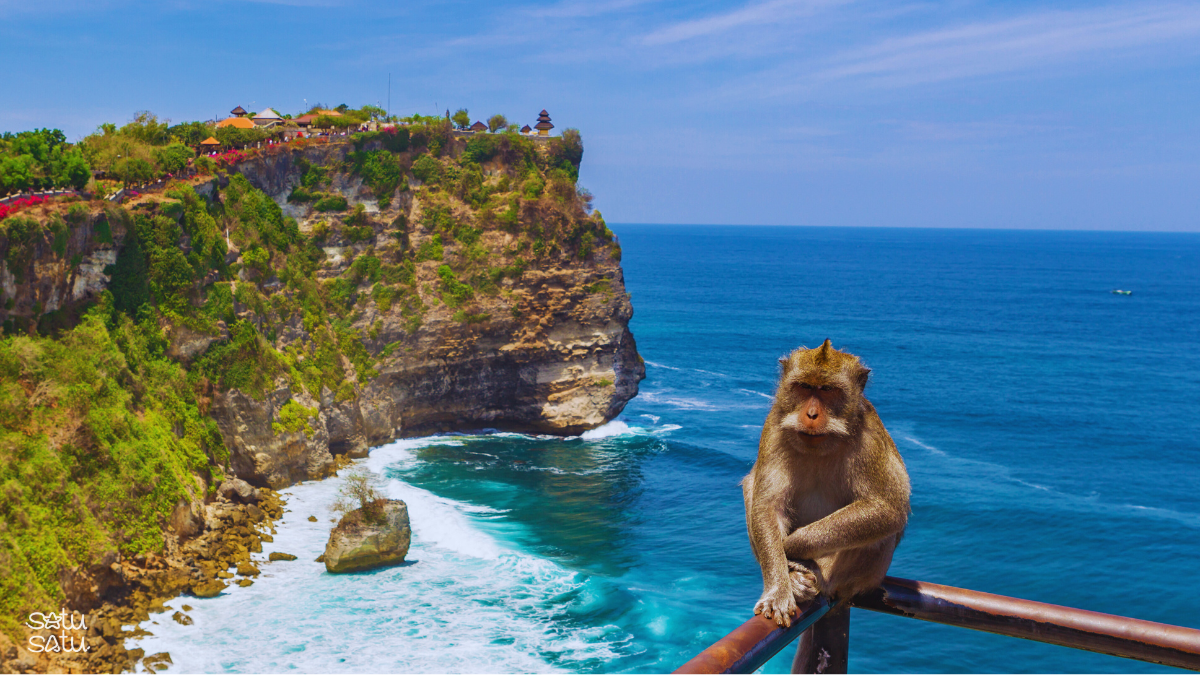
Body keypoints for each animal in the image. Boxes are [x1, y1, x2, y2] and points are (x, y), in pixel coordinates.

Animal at [742, 339, 910, 627]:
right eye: (804, 387)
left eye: (828, 390)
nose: (811, 414)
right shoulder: (774, 424)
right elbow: (767, 506)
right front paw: (778, 588)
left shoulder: (868, 435)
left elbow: (887, 509)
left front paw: (791, 547)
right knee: (751, 484)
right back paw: (795, 581)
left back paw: (812, 572)